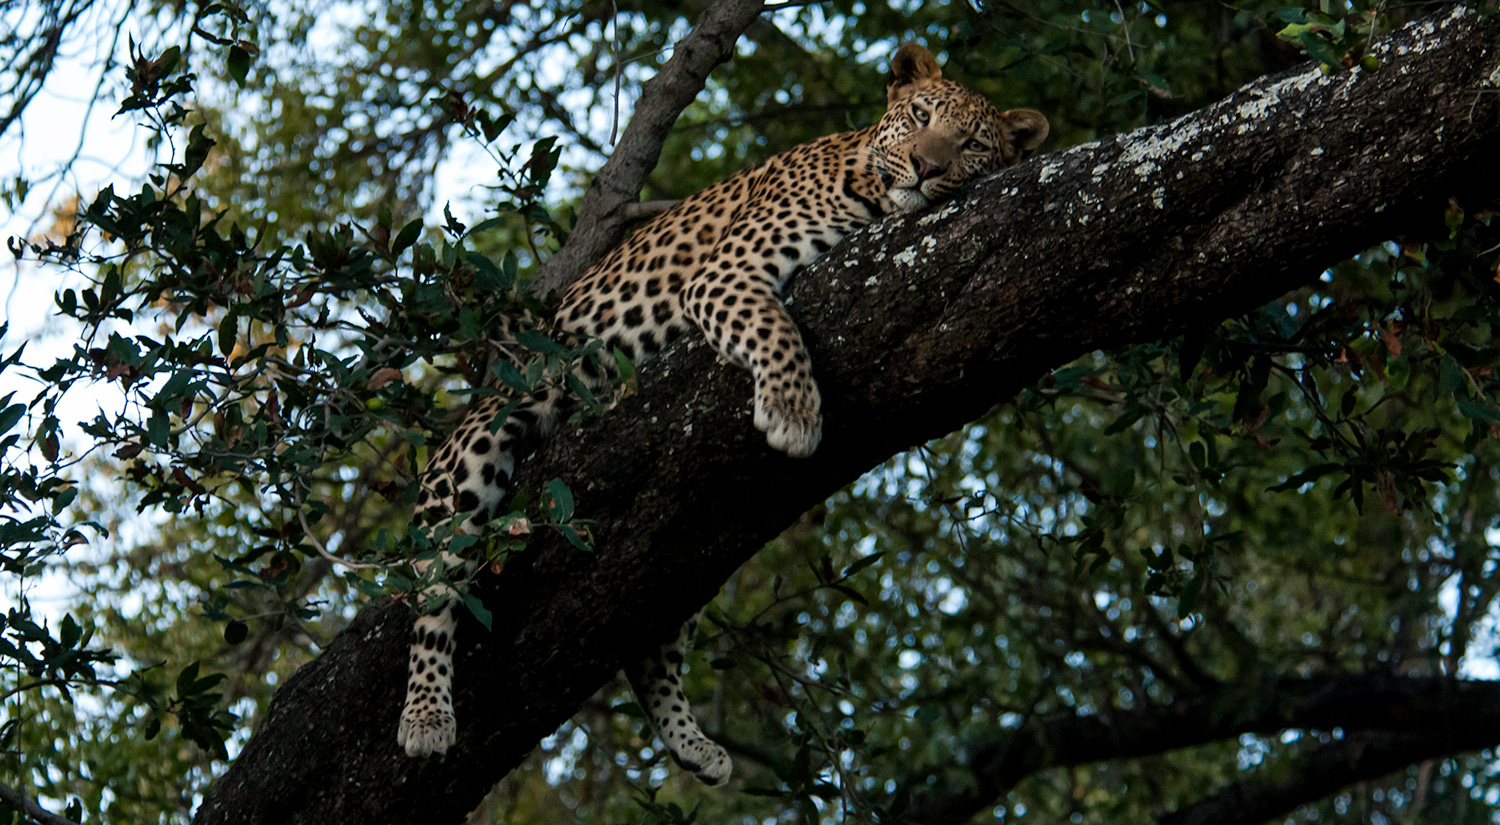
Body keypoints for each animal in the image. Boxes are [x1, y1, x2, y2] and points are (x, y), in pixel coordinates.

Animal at [395, 42, 1048, 785]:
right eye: (919, 117)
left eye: (972, 146)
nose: (927, 167)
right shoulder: (724, 273)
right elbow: (775, 327)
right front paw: (793, 414)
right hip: (475, 451)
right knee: (432, 592)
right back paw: (425, 715)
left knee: (650, 641)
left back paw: (691, 742)